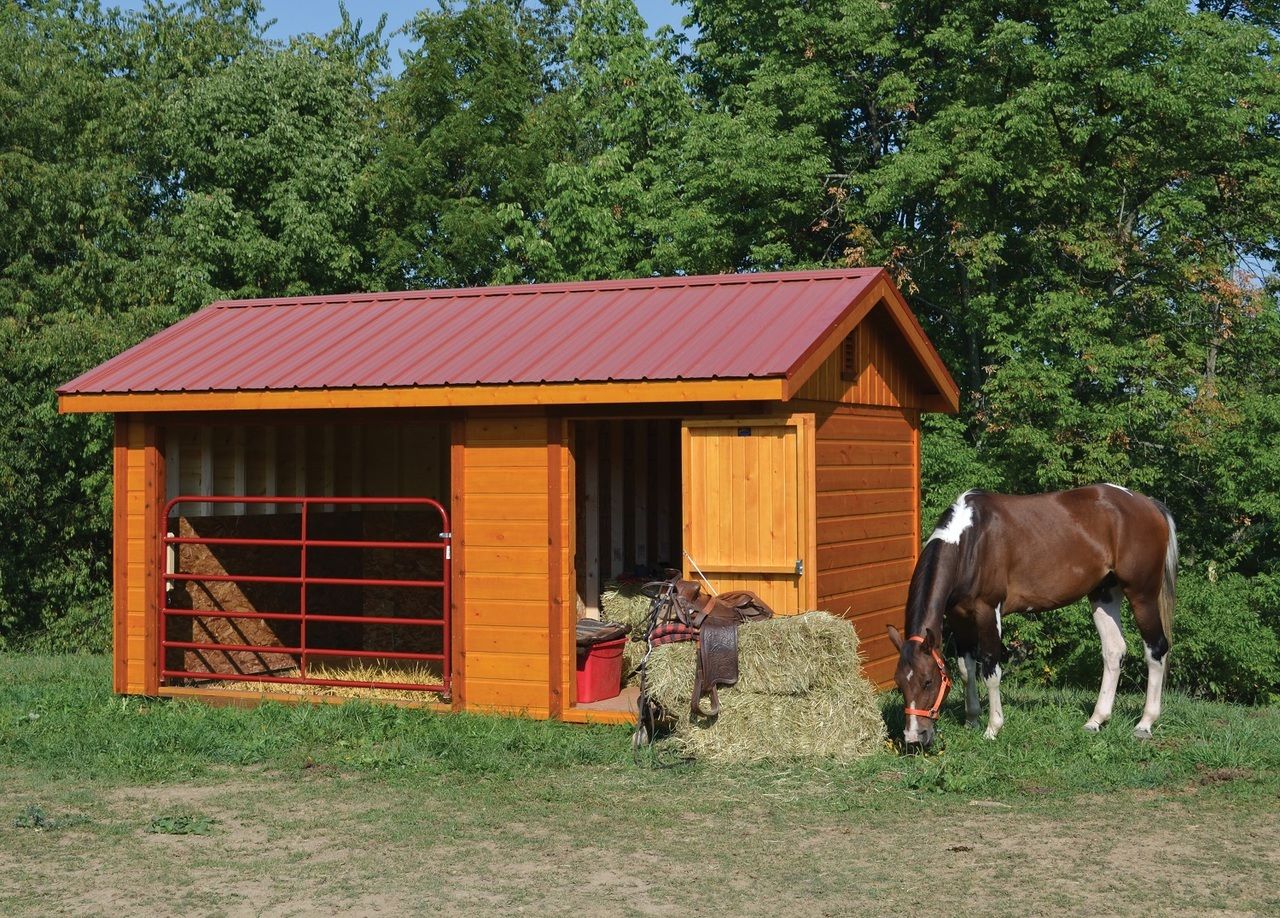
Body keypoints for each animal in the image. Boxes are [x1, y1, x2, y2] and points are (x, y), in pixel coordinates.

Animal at [885, 483, 1172, 747]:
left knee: (1156, 649)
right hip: (1104, 593)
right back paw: (1095, 721)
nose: (914, 738)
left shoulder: (988, 611)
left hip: (1141, 594)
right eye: (899, 684)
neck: (971, 542)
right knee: (1114, 651)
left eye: (927, 681)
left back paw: (1144, 724)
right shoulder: (959, 617)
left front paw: (992, 728)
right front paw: (971, 720)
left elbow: (990, 670)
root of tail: (1148, 504)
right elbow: (966, 669)